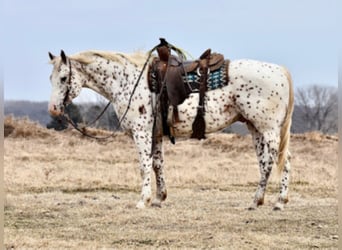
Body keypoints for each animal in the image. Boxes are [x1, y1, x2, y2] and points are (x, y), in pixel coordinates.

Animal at [47, 47, 294, 210]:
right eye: (51, 78)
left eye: (64, 77)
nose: (53, 109)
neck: (128, 81)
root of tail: (280, 72)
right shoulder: (155, 134)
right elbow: (158, 164)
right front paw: (159, 198)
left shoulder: (141, 133)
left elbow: (144, 165)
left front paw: (143, 200)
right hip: (256, 128)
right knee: (271, 161)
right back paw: (266, 201)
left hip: (268, 129)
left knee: (276, 161)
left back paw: (271, 201)